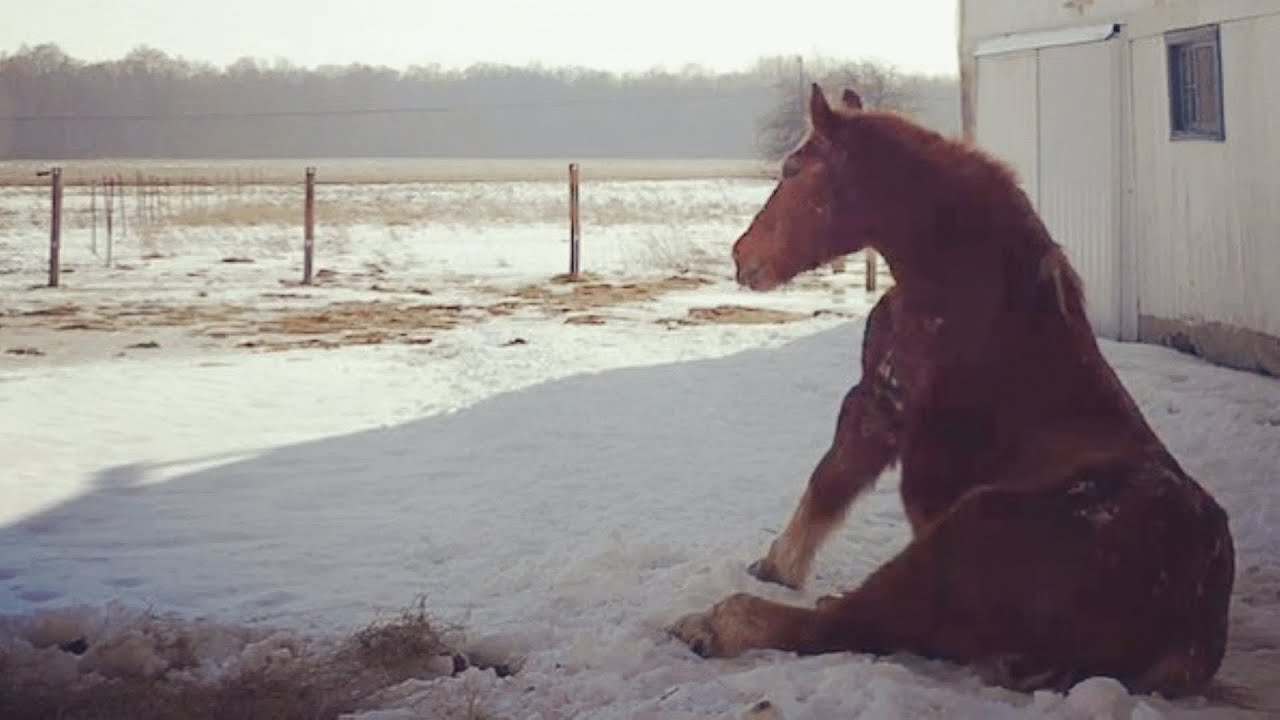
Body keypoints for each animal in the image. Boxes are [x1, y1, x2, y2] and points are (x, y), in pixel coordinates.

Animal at [675, 83, 1233, 696]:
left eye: (793, 169)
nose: (742, 256)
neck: (969, 298)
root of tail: (1188, 637)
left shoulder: (877, 405)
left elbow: (829, 480)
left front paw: (776, 567)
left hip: (957, 535)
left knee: (841, 623)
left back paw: (712, 623)